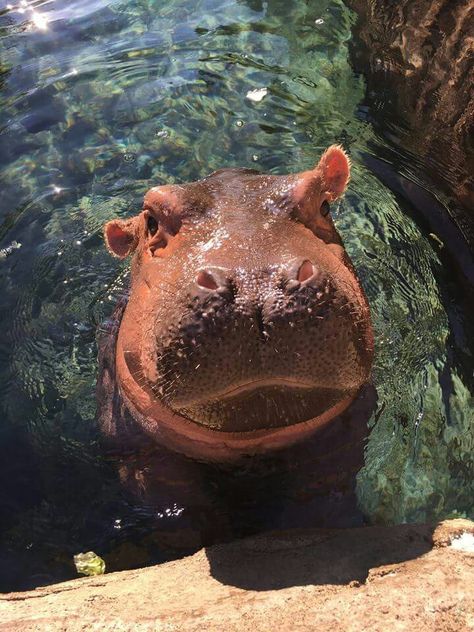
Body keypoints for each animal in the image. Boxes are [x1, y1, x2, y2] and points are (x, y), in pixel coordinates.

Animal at [98, 146, 376, 540]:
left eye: (324, 205)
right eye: (151, 221)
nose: (255, 282)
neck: (253, 438)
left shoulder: (344, 432)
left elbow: (321, 492)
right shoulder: (140, 454)